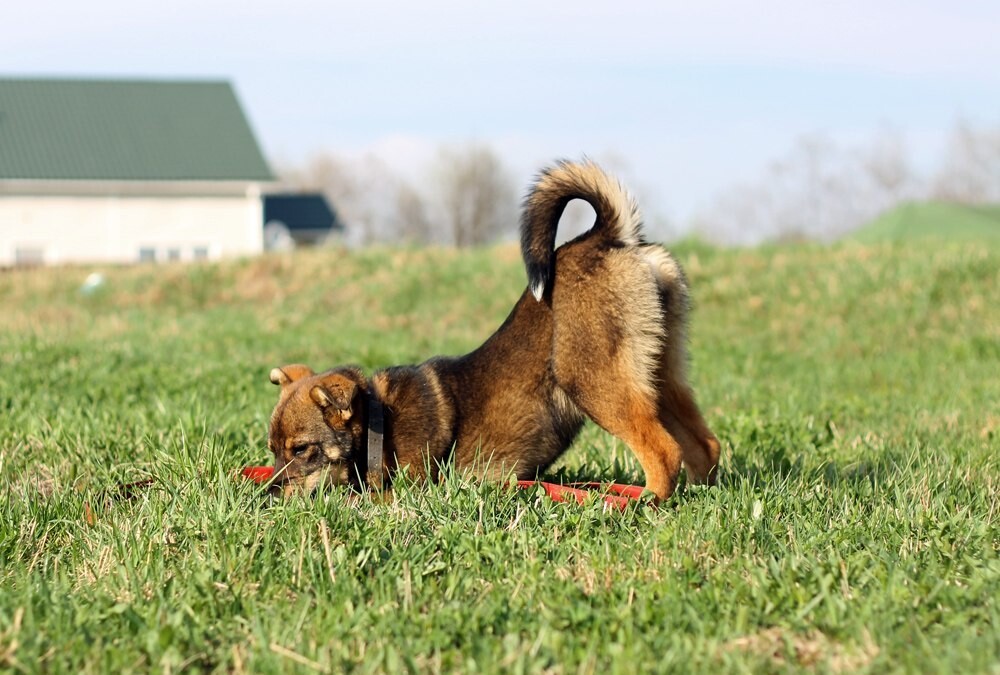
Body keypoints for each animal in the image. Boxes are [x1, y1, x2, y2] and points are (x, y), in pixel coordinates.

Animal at [266, 160, 720, 502]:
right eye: (271, 450)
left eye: (301, 449)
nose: (268, 492)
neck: (380, 418)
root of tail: (607, 235)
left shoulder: (406, 490)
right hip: (659, 372)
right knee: (704, 446)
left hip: (592, 378)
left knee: (664, 451)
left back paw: (642, 502)